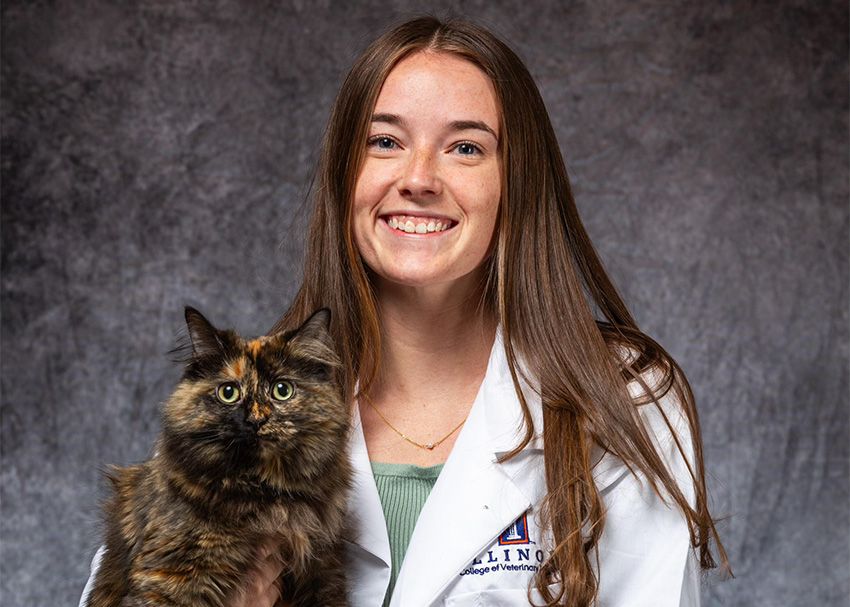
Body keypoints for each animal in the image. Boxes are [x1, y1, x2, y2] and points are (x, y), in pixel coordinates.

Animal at [86, 312, 348, 604]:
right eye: (228, 392)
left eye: (282, 390)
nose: (256, 420)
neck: (262, 493)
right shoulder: (170, 577)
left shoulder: (322, 572)